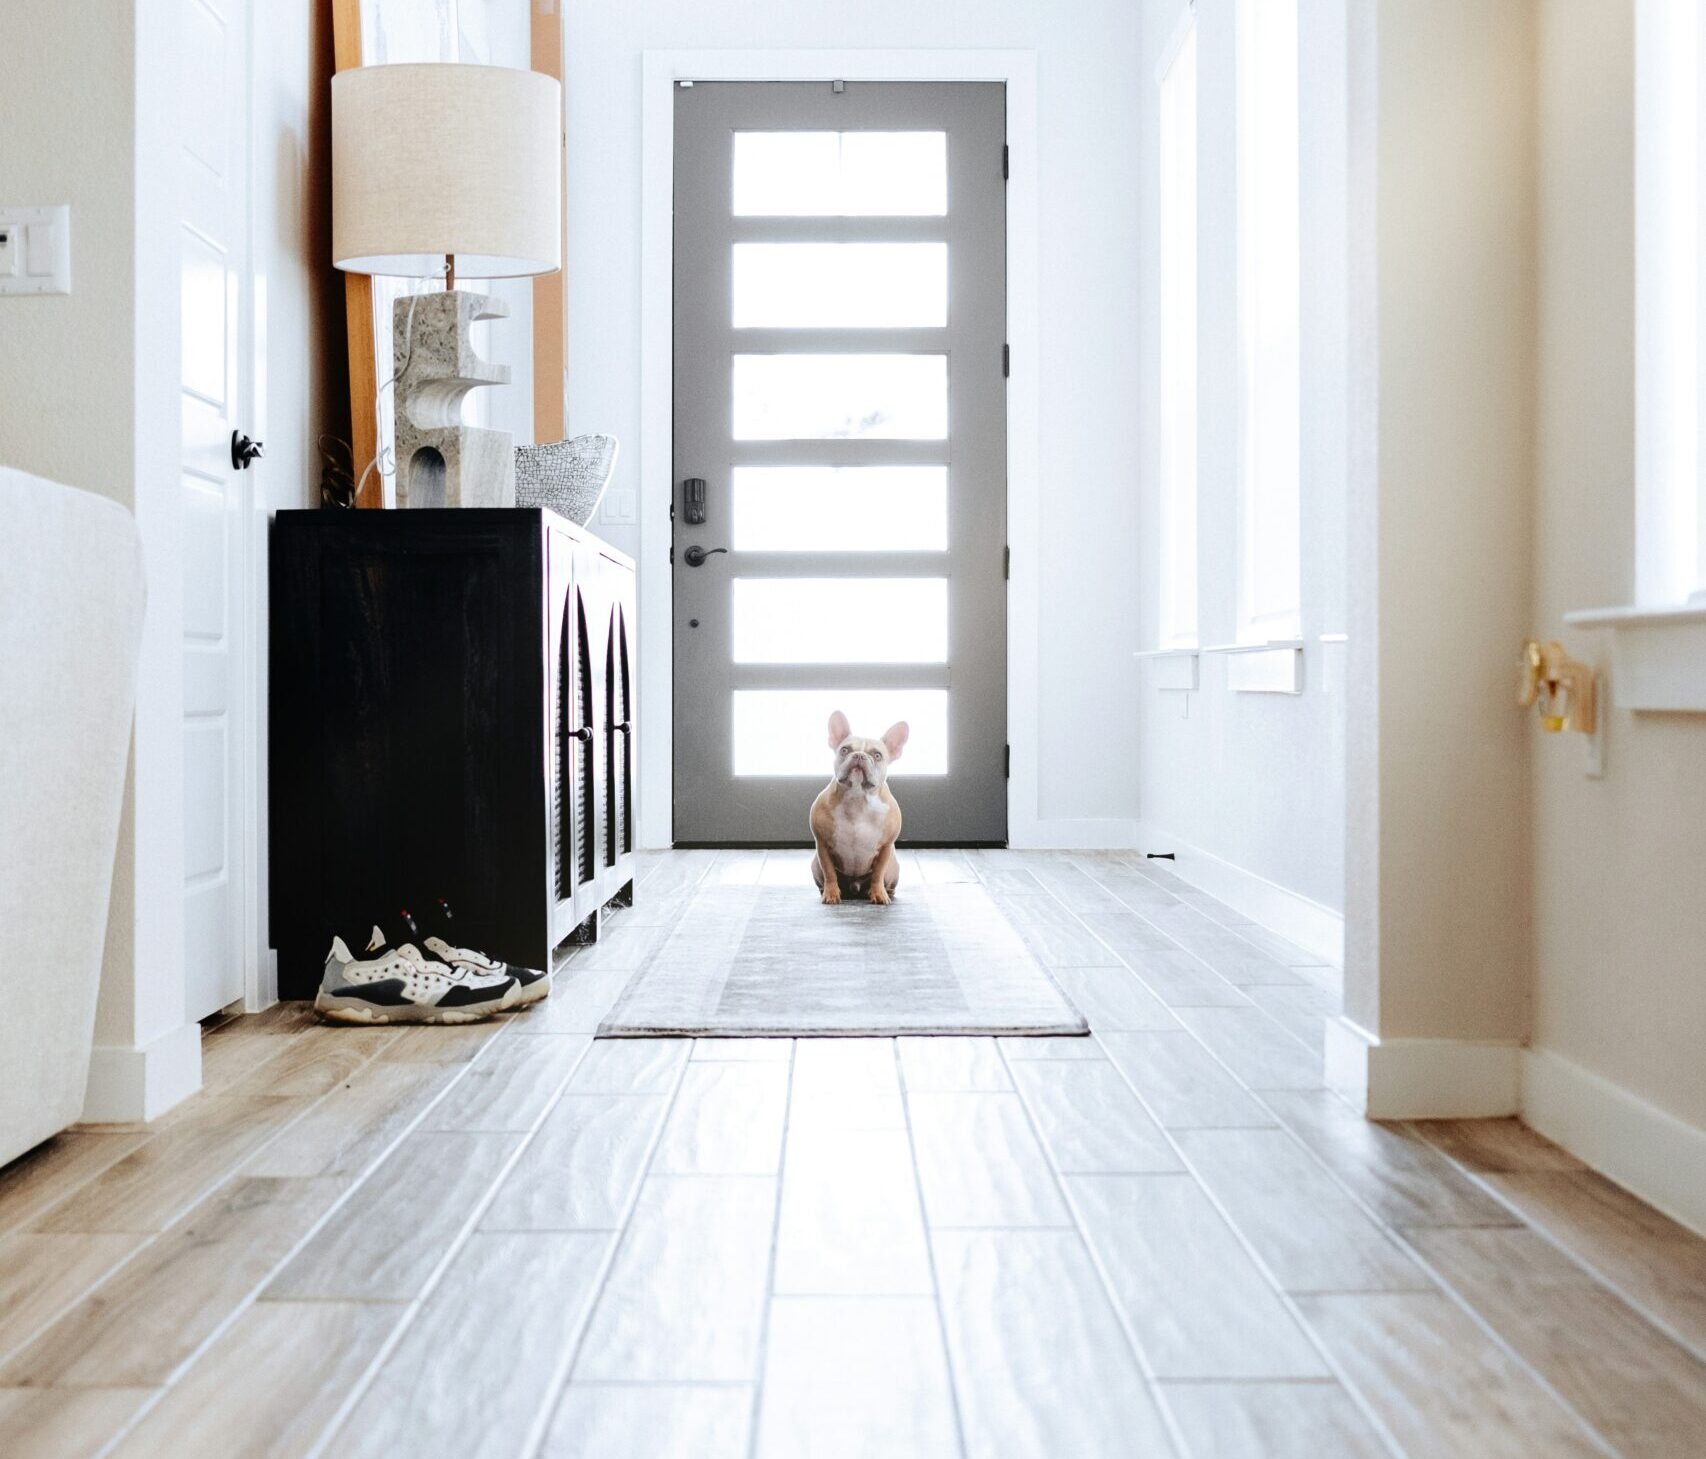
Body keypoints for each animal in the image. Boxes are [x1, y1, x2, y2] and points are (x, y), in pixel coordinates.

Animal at [808, 713, 907, 907]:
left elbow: (878, 874)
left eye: (877, 755)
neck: (858, 797)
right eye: (845, 750)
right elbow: (829, 872)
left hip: (893, 868)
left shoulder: (886, 847)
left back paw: (886, 893)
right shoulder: (822, 844)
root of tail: (855, 888)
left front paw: (878, 894)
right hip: (815, 864)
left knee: (887, 881)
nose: (859, 755)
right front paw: (831, 894)